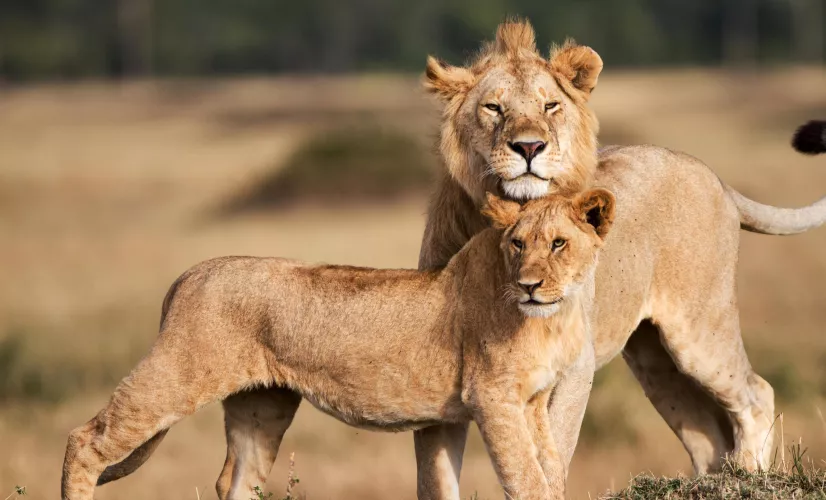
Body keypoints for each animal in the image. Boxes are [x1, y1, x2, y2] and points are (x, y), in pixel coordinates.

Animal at [61, 189, 617, 500]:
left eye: (559, 244)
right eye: (517, 244)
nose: (528, 285)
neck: (553, 317)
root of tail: (192, 271)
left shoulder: (533, 402)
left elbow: (550, 469)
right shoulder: (492, 397)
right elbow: (526, 478)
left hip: (262, 408)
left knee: (237, 481)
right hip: (179, 373)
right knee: (86, 440)